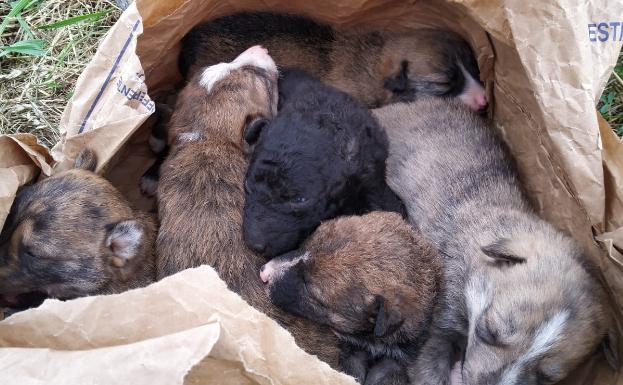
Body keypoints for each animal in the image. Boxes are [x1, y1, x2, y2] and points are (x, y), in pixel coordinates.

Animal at [260, 212, 442, 382]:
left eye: (309, 289)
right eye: (306, 244)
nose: (264, 272)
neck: (370, 339)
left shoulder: (398, 358)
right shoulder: (350, 351)